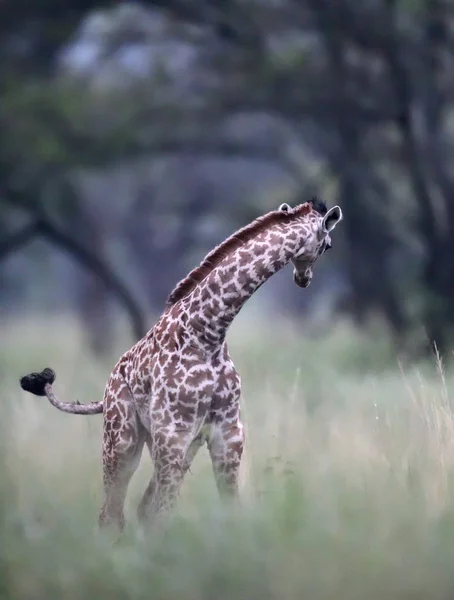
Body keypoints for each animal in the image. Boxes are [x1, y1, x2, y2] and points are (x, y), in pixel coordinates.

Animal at [19, 197, 342, 528]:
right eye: (328, 245)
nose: (304, 279)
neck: (208, 333)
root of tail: (106, 391)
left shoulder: (227, 433)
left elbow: (227, 507)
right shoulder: (172, 431)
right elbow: (164, 510)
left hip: (180, 443)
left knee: (140, 508)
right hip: (122, 438)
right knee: (113, 513)